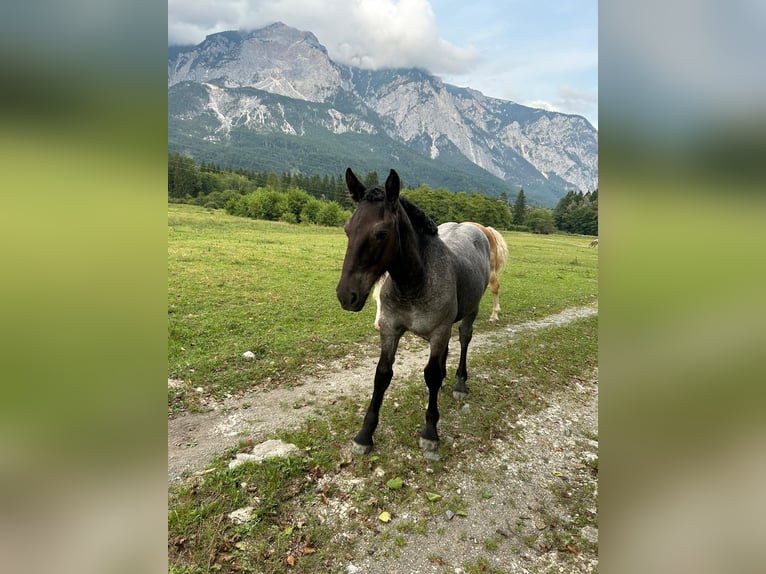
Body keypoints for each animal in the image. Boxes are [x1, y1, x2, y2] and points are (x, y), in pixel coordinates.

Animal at [336, 169, 492, 456]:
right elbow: (382, 375)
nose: (346, 295)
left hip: (469, 312)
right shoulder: (390, 329)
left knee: (464, 340)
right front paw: (365, 434)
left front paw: (430, 432)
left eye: (382, 233)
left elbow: (431, 374)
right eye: (347, 229)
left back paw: (459, 383)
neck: (414, 282)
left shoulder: (439, 330)